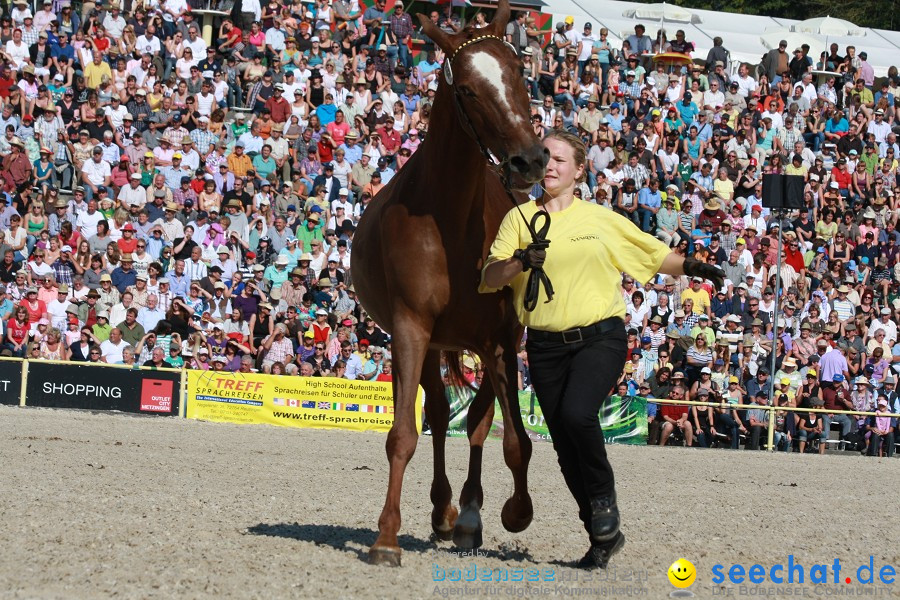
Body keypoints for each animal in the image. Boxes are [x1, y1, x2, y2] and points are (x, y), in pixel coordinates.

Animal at [352, 0, 548, 568]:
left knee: (477, 419)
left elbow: (511, 438)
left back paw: (467, 515)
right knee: (439, 414)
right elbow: (404, 433)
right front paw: (386, 538)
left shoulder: (503, 338)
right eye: (466, 89)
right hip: (434, 341)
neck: (452, 221)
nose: (530, 159)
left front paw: (513, 511)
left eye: (519, 71)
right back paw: (444, 510)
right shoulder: (411, 327)